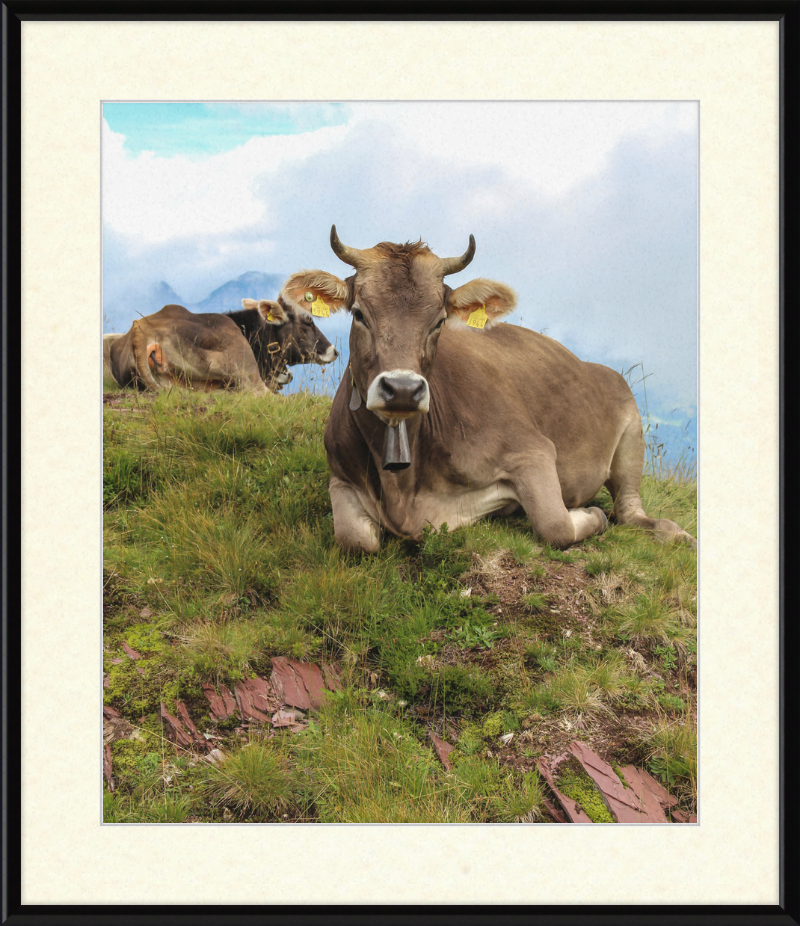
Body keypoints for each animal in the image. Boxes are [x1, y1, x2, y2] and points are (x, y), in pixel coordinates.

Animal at [286, 228, 692, 556]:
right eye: (358, 314)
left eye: (439, 321)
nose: (402, 389)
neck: (402, 488)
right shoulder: (340, 476)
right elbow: (355, 540)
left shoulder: (532, 451)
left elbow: (556, 525)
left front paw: (590, 514)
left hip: (632, 431)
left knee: (629, 510)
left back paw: (673, 532)